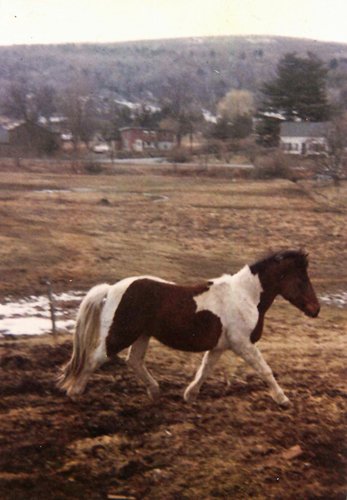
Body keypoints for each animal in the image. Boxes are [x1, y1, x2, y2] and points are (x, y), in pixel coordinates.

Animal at [57, 250, 320, 406]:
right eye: (302, 279)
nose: (316, 309)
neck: (245, 295)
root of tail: (111, 289)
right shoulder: (243, 344)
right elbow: (265, 370)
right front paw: (283, 399)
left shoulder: (220, 346)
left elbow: (205, 369)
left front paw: (190, 395)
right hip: (120, 334)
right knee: (95, 359)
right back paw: (75, 392)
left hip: (142, 335)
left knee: (134, 361)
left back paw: (155, 392)